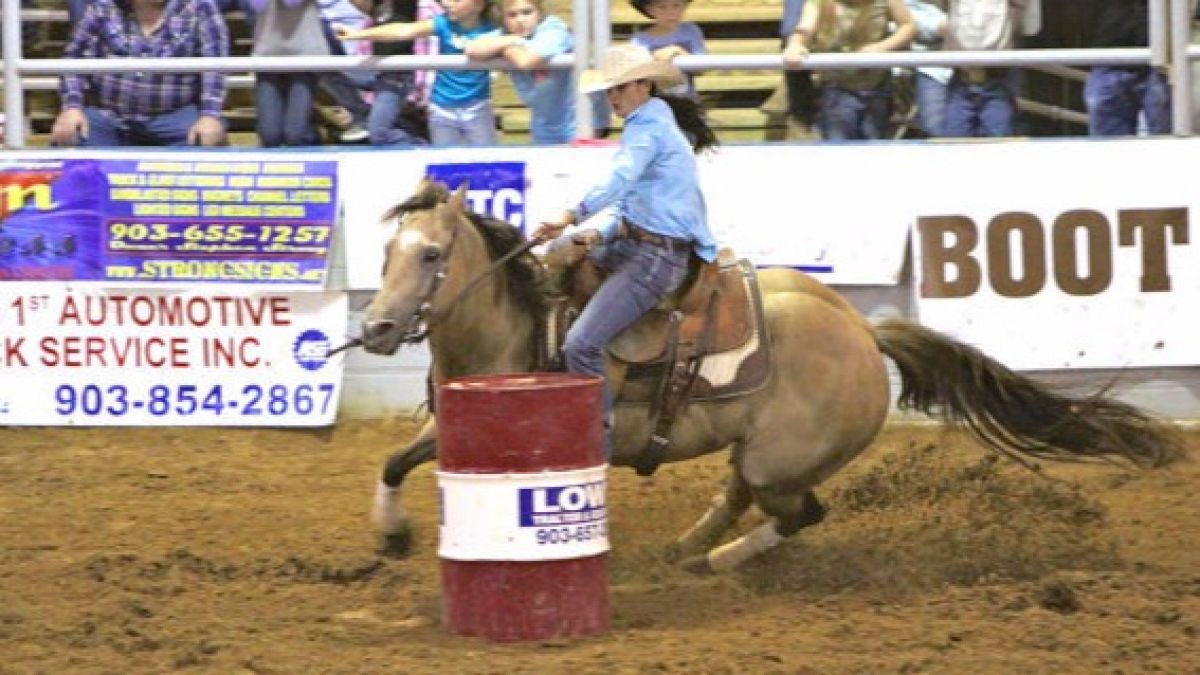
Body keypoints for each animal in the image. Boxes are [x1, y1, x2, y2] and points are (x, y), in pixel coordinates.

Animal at [357, 180, 1180, 571]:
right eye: (386, 252)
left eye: (432, 254)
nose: (374, 330)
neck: (519, 324)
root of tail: (864, 333)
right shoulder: (451, 429)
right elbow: (394, 458)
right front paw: (392, 534)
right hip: (758, 449)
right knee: (742, 494)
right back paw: (690, 547)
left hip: (781, 459)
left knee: (796, 512)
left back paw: (719, 559)